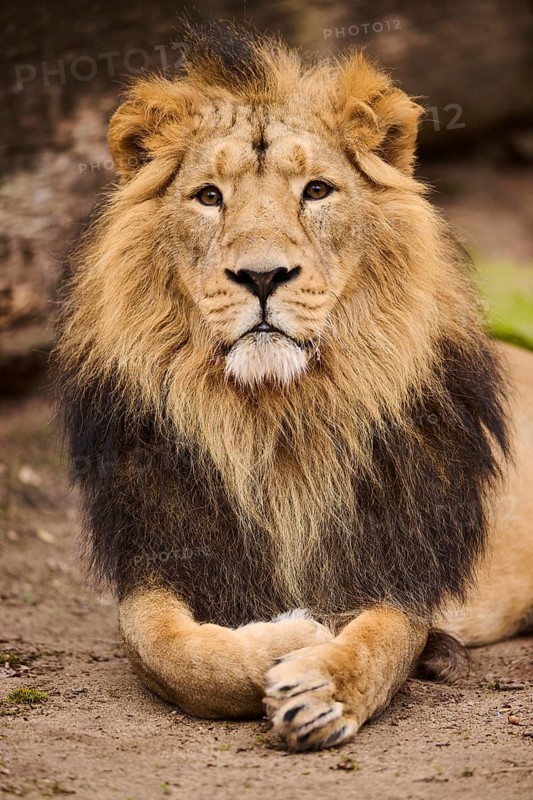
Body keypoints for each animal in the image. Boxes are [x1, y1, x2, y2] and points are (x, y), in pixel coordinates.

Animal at [55, 22, 533, 751]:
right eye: (209, 196)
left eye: (316, 191)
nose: (261, 275)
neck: (276, 419)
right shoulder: (157, 558)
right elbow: (172, 654)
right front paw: (292, 632)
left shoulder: (395, 558)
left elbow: (380, 641)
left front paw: (323, 688)